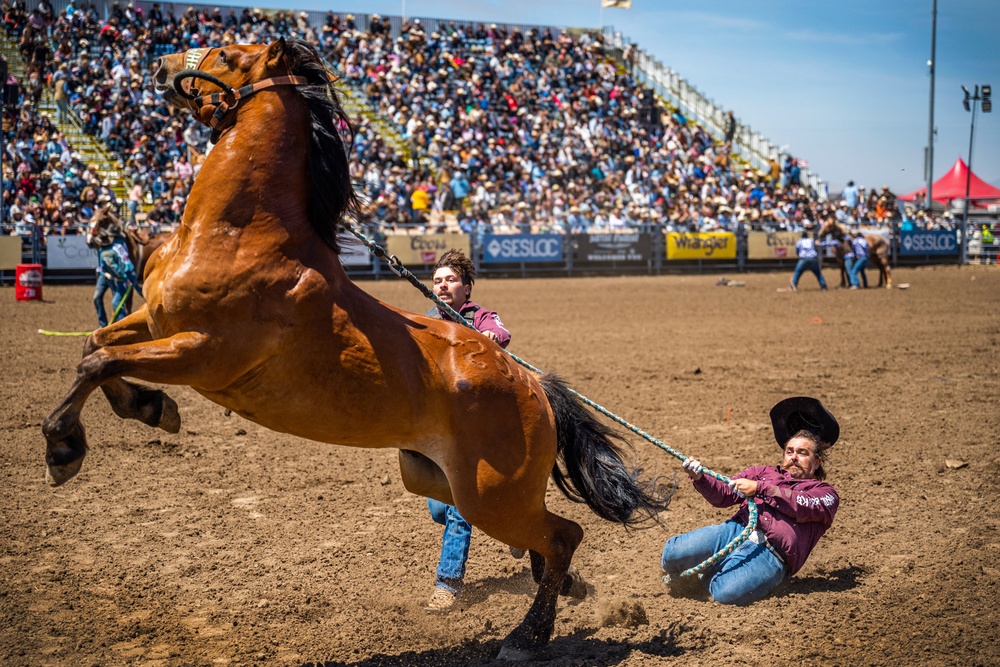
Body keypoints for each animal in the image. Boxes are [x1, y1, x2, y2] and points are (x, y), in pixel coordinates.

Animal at [39, 39, 668, 660]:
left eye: (225, 55)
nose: (162, 64)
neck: (236, 237)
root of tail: (532, 383)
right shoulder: (154, 320)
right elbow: (96, 345)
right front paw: (146, 409)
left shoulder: (205, 354)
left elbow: (98, 360)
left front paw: (65, 447)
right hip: (434, 477)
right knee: (543, 535)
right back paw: (556, 590)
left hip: (492, 495)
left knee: (563, 534)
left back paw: (526, 637)